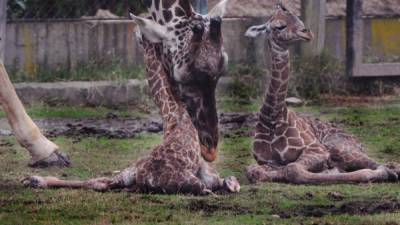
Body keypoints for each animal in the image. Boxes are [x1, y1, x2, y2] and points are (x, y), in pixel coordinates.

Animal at [244, 3, 400, 184]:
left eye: (299, 19)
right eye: (279, 26)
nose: (307, 33)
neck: (272, 117)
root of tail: (356, 140)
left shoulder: (317, 149)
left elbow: (293, 169)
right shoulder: (265, 161)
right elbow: (255, 171)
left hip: (340, 148)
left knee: (384, 165)